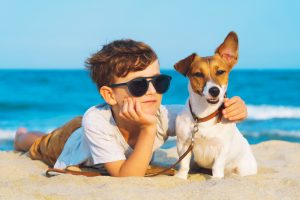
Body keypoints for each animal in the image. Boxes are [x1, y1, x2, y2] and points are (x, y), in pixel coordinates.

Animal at [173, 32, 258, 179]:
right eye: (198, 74)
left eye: (220, 72)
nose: (214, 90)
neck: (204, 115)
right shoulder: (183, 144)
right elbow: (183, 164)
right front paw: (181, 177)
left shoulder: (222, 149)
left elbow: (217, 167)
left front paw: (217, 178)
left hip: (244, 168)